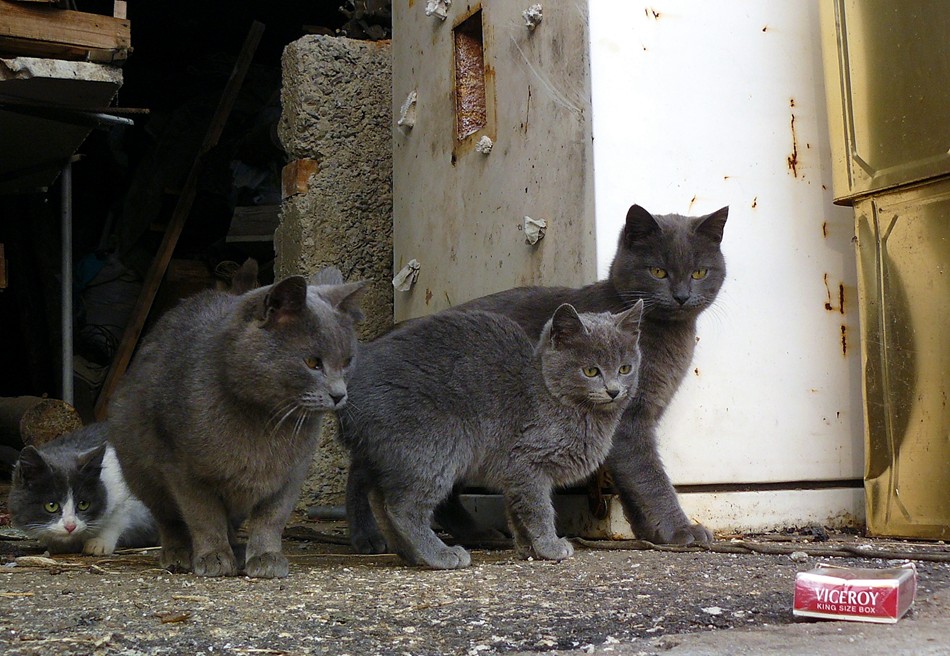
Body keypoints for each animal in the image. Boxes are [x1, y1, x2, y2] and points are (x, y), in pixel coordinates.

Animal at [8, 422, 157, 555]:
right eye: (51, 506)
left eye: (83, 504)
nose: (70, 526)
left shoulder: (128, 493)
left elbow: (118, 517)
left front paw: (99, 542)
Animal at [108, 261, 364, 578]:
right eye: (312, 363)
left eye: (347, 361)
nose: (339, 394)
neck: (265, 421)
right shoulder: (182, 469)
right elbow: (203, 516)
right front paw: (213, 556)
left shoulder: (290, 474)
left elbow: (271, 518)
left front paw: (266, 557)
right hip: (140, 470)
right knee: (168, 518)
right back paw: (178, 554)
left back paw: (237, 549)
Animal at [339, 302, 643, 568]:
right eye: (590, 371)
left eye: (625, 368)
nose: (614, 390)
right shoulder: (527, 462)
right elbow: (538, 509)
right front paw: (550, 545)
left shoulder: (513, 471)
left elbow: (516, 510)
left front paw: (527, 548)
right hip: (436, 448)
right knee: (402, 508)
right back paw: (440, 555)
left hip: (391, 454)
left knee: (380, 501)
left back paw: (411, 556)